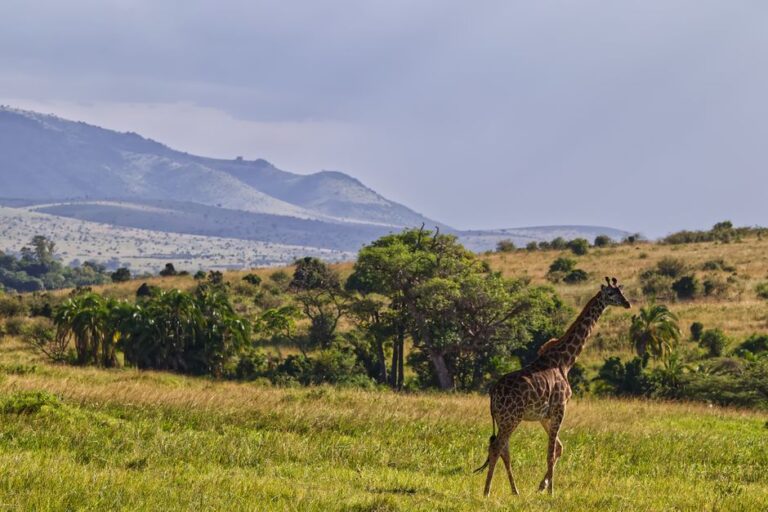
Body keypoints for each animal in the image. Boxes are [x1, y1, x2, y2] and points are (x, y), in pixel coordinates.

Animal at [475, 276, 631, 497]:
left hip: (504, 419)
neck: (565, 361)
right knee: (497, 447)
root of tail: (492, 393)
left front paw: (542, 486)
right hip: (511, 418)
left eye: (621, 292)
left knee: (503, 449)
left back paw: (515, 491)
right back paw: (487, 491)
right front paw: (551, 491)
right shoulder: (560, 407)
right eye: (611, 294)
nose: (627, 303)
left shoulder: (545, 415)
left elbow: (558, 448)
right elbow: (550, 452)